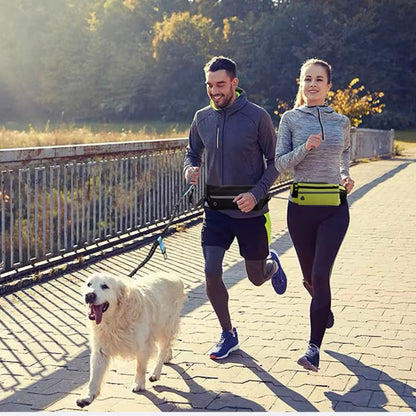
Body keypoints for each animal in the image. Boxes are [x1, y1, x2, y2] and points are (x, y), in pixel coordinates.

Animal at [76, 272, 185, 408]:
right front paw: (87, 396)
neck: (115, 319)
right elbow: (94, 376)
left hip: (166, 326)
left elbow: (140, 367)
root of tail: (175, 276)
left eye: (105, 286)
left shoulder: (143, 345)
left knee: (162, 350)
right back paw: (167, 357)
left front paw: (138, 384)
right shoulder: (100, 350)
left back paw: (155, 373)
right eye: (89, 284)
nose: (89, 295)